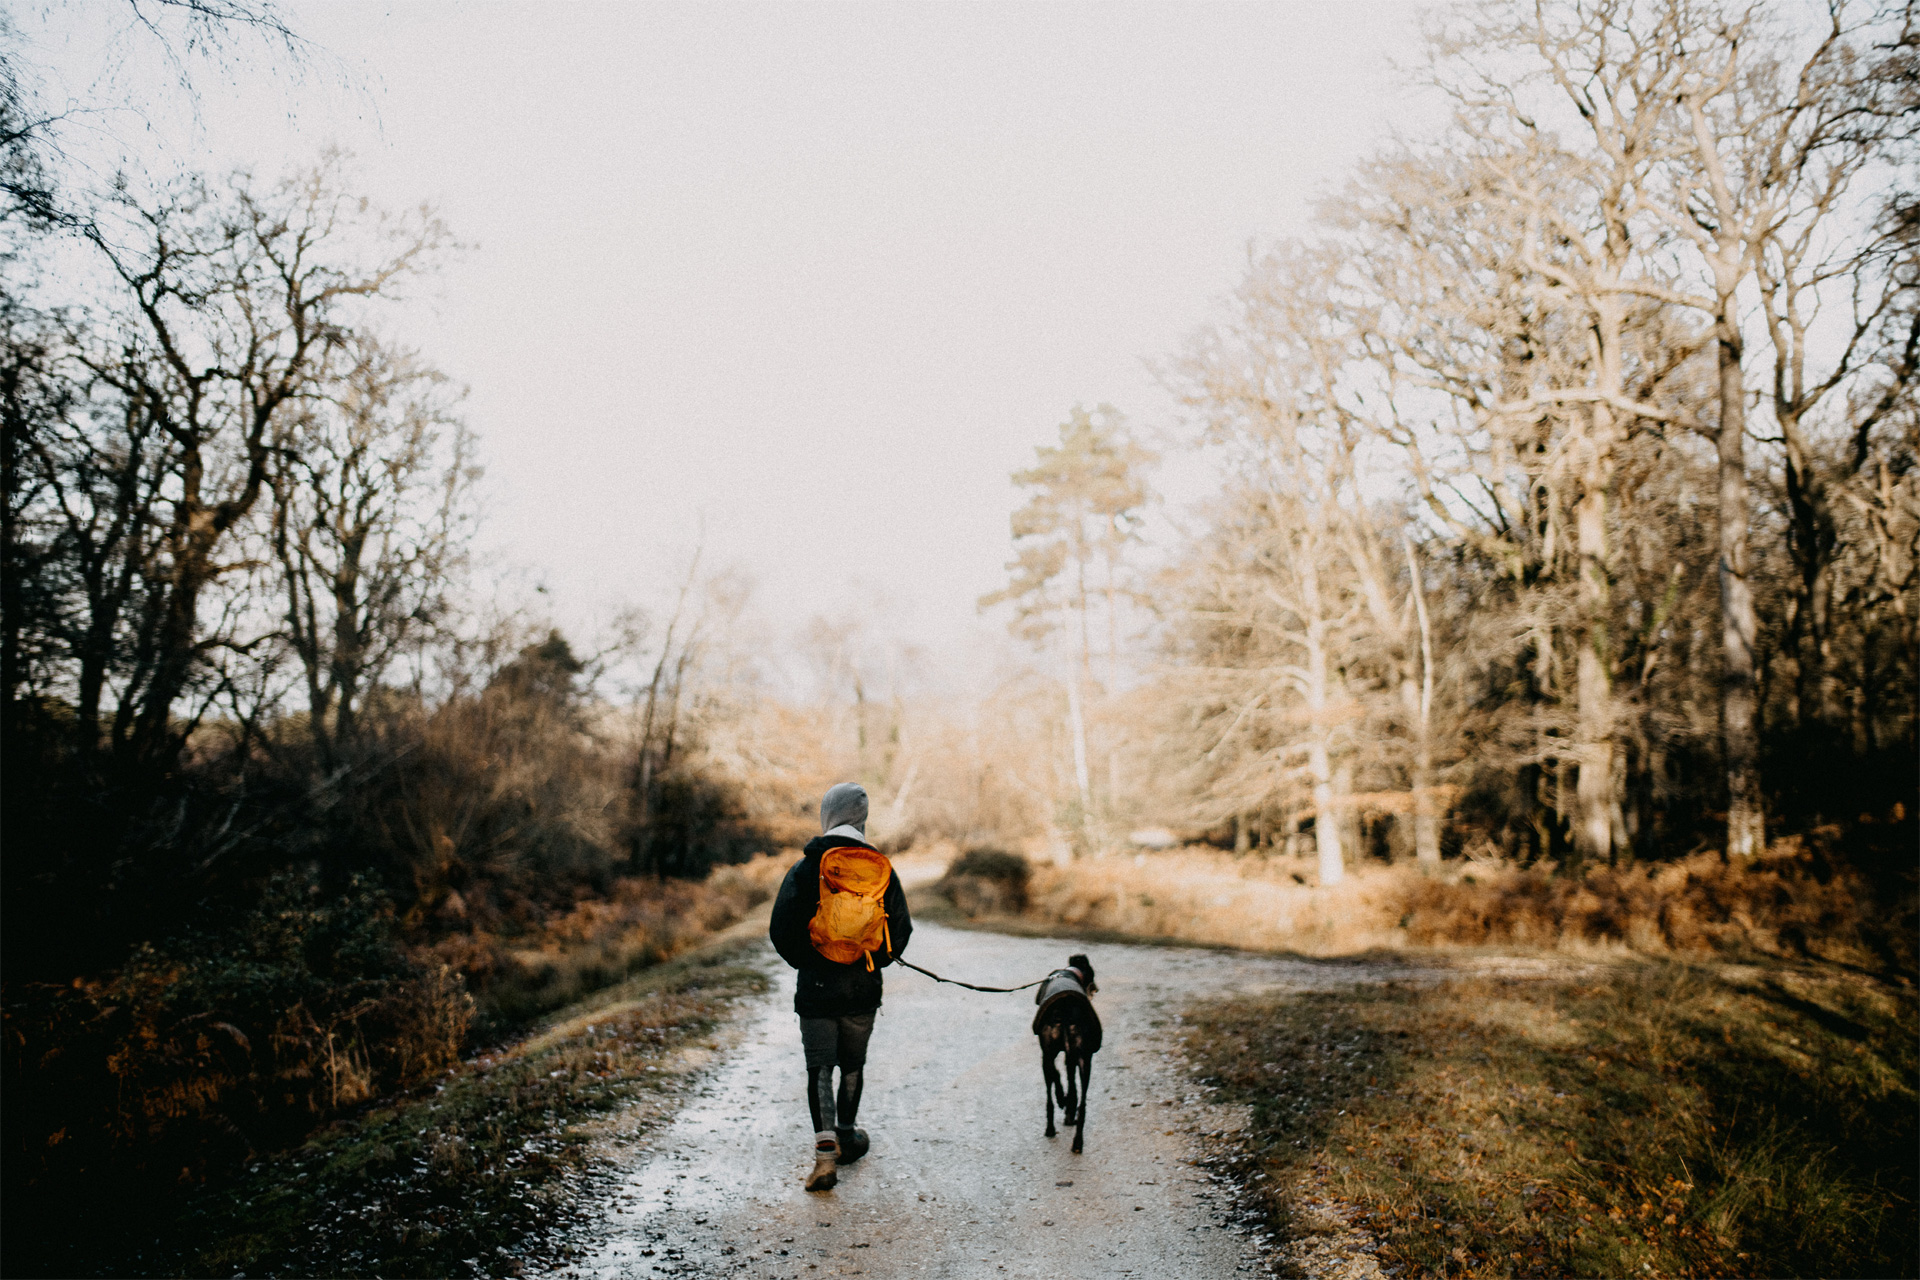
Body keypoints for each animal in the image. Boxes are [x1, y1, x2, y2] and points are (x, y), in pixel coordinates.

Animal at [1029, 951, 1105, 1151]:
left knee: (1051, 1095)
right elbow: (1067, 1080)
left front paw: (1063, 1100)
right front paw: (1067, 1104)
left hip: (1053, 1056)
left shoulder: (1051, 1054)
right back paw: (1077, 1139)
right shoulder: (1069, 1056)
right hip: (1084, 1059)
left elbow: (1059, 1076)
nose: (1097, 989)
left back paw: (1053, 1126)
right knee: (1082, 1102)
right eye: (1093, 974)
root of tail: (1065, 1009)